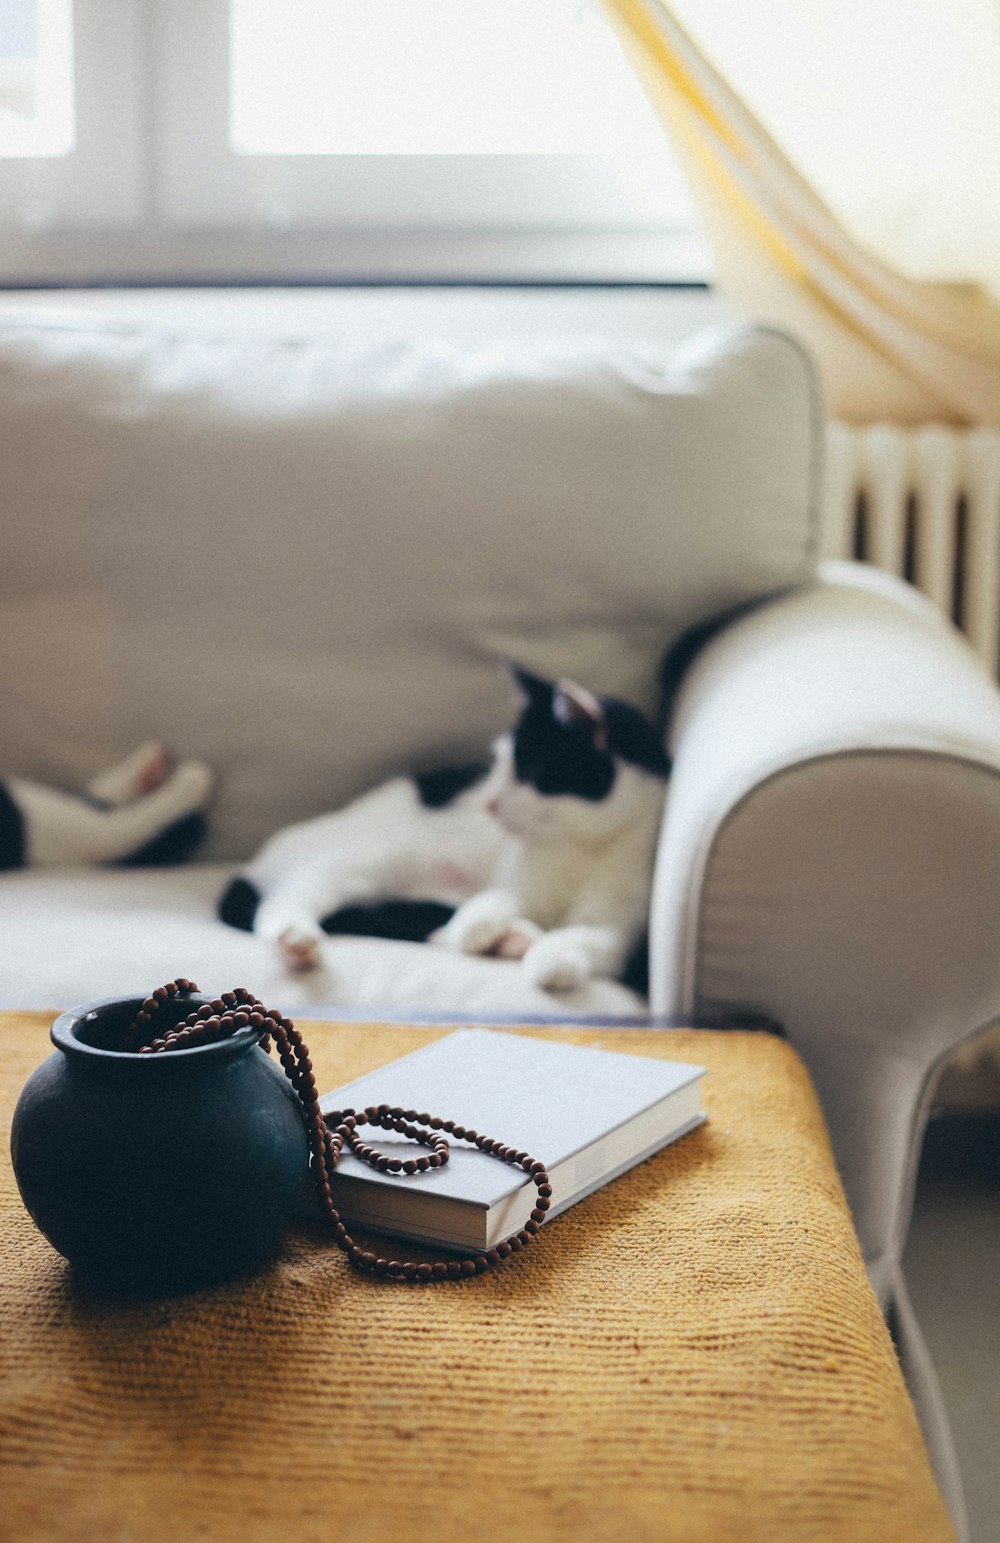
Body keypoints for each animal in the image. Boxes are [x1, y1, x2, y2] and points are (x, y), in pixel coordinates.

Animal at [219, 672, 672, 987]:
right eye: (499, 765)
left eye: (529, 771)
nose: (489, 803)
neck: (581, 844)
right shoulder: (516, 876)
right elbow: (499, 898)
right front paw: (479, 925)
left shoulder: (620, 916)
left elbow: (592, 936)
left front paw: (551, 957)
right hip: (371, 857)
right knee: (291, 893)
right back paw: (295, 936)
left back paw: (514, 940)